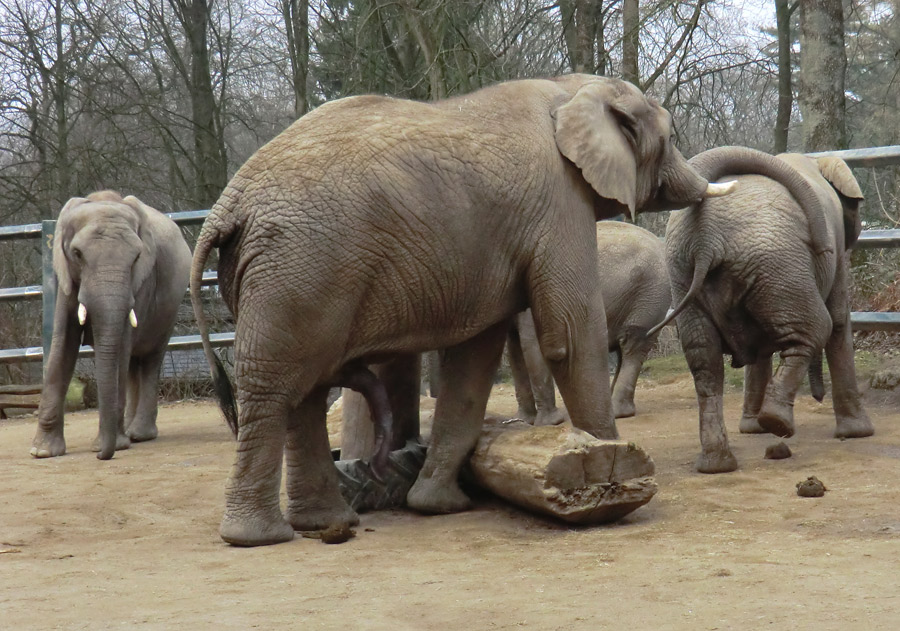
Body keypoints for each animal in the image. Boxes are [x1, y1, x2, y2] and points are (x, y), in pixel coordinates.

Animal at [31, 190, 192, 462]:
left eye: (137, 257)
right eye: (77, 254)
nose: (100, 456)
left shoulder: (141, 280)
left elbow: (121, 345)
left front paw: (114, 445)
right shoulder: (66, 278)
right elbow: (63, 343)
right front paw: (42, 452)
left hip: (171, 305)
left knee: (150, 356)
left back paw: (138, 435)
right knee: (134, 362)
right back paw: (131, 433)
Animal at [506, 218, 668, 424]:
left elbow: (531, 344)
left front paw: (548, 423)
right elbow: (514, 349)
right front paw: (523, 420)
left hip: (649, 295)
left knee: (633, 344)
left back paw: (618, 412)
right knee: (624, 346)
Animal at [652, 147, 872, 474]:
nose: (822, 248)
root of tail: (706, 241)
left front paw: (752, 430)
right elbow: (839, 321)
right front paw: (859, 433)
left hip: (687, 271)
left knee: (704, 360)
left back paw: (717, 465)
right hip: (776, 263)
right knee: (818, 326)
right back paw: (776, 423)